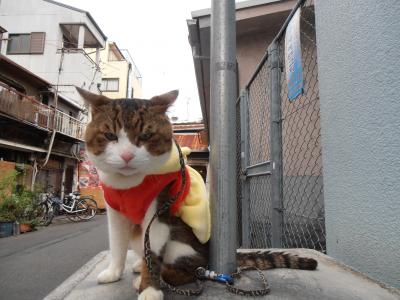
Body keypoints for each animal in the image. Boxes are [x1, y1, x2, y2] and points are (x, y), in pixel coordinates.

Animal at [76, 87, 318, 300]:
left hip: (183, 248)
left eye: (146, 135)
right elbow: (117, 244)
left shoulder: (159, 212)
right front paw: (114, 272)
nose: (126, 156)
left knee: (188, 270)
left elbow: (152, 255)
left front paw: (149, 289)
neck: (129, 183)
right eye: (109, 135)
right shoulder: (115, 211)